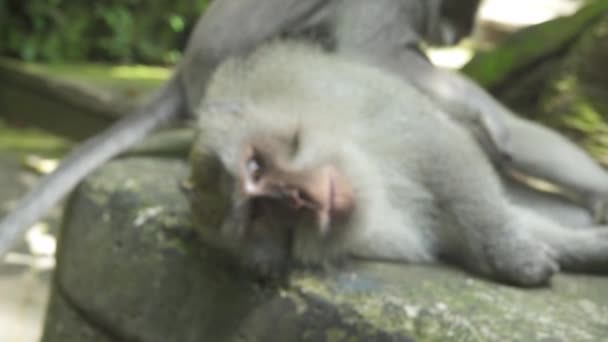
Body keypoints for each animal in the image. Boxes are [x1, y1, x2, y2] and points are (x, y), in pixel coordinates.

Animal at [189, 43, 608, 288]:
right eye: (257, 212)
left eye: (255, 166)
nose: (295, 197)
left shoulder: (352, 102)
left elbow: (444, 153)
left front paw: (512, 254)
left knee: (518, 143)